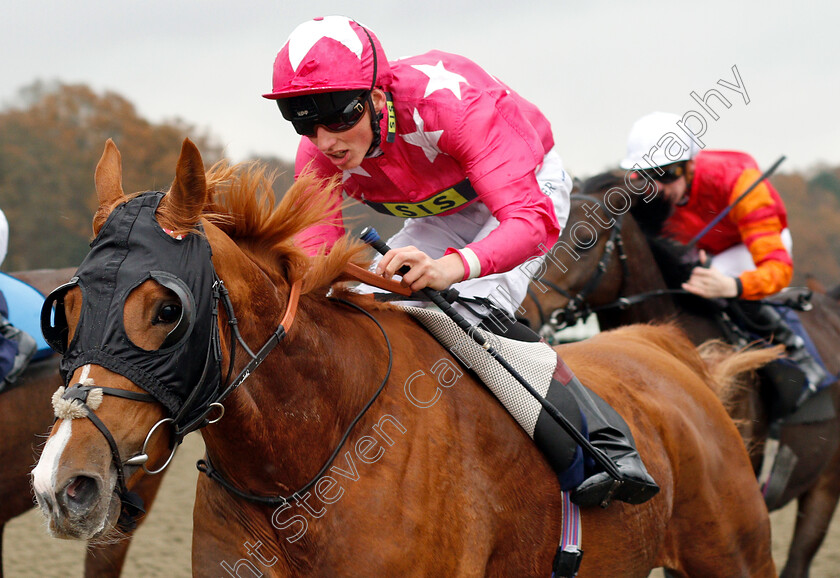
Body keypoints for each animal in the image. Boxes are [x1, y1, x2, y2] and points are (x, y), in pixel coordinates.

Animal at [32, 141, 776, 576]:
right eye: (67, 310)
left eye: (166, 311)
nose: (64, 485)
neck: (307, 460)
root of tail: (669, 349)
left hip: (734, 555)